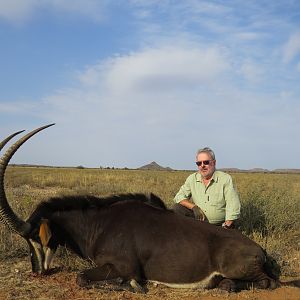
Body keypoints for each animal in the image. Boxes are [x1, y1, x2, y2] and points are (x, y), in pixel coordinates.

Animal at [0, 125, 286, 292]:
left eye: (34, 237)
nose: (37, 271)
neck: (98, 223)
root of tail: (260, 250)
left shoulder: (123, 266)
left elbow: (83, 278)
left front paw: (132, 285)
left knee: (267, 282)